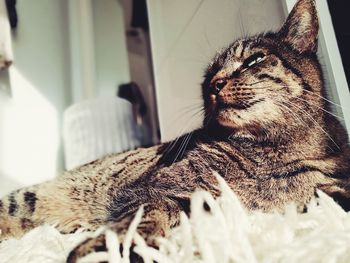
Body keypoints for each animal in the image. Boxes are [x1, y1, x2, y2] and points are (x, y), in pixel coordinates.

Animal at [0, 0, 350, 262]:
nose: (214, 84)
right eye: (208, 75)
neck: (267, 152)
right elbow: (143, 216)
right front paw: (111, 250)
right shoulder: (155, 189)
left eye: (254, 59)